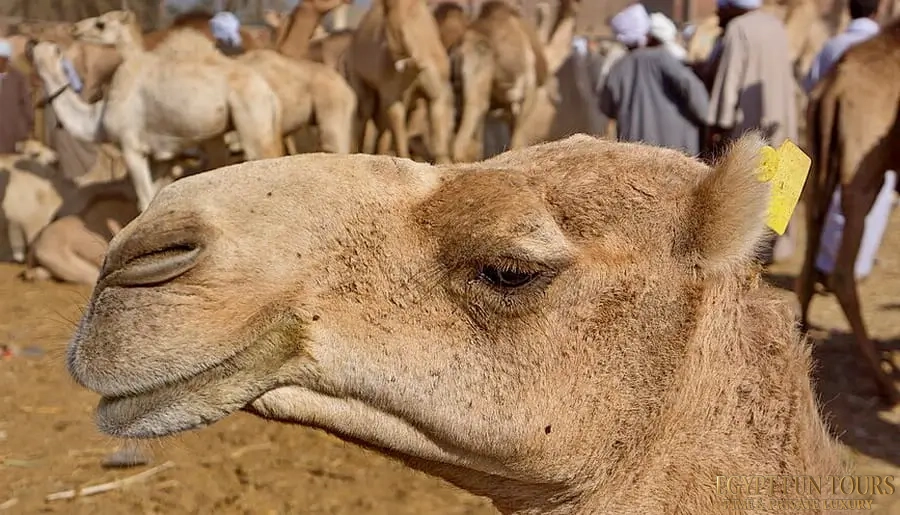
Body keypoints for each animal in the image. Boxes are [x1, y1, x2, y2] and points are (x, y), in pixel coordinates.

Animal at [34, 10, 283, 212]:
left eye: (101, 24)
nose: (74, 29)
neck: (98, 117)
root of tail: (268, 92)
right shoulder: (162, 155)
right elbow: (155, 197)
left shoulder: (131, 146)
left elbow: (144, 199)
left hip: (251, 117)